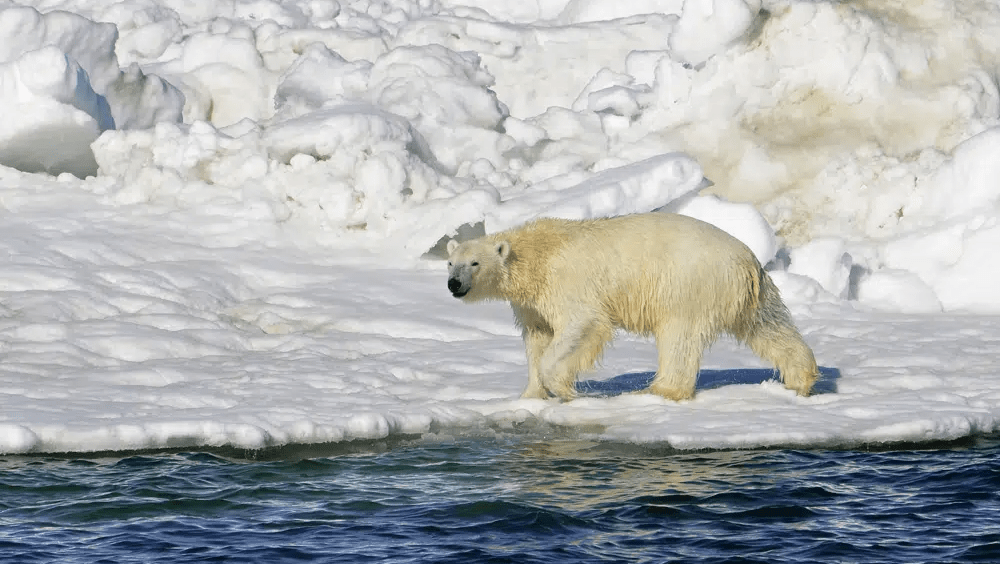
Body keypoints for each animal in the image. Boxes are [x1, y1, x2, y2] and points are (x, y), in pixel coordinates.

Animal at [448, 212, 820, 400]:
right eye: (451, 262)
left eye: (474, 263)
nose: (454, 284)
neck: (537, 254)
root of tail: (747, 260)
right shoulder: (532, 303)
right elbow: (537, 337)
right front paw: (530, 394)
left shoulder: (568, 283)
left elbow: (582, 325)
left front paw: (564, 389)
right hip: (747, 294)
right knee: (768, 326)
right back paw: (800, 379)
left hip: (688, 284)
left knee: (678, 337)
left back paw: (660, 390)